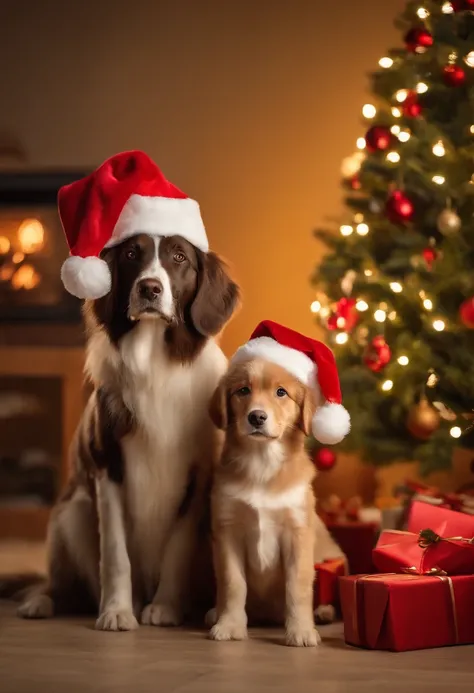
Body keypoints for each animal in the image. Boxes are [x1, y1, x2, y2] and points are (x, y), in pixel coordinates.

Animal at [16, 231, 239, 628]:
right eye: (132, 254)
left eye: (179, 257)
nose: (149, 288)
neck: (155, 361)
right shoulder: (108, 468)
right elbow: (116, 553)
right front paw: (118, 611)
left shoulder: (197, 479)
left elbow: (177, 548)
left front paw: (165, 607)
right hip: (72, 512)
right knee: (61, 586)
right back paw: (40, 601)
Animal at [207, 360, 334, 648]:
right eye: (243, 390)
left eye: (281, 392)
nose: (256, 417)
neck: (262, 464)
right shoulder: (228, 530)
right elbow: (233, 583)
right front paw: (230, 625)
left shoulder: (297, 533)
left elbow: (297, 586)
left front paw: (301, 630)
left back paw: (323, 612)